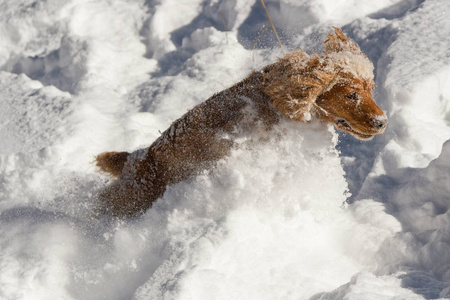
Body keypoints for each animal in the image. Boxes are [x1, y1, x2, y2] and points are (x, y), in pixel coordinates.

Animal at [94, 27, 386, 217]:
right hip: (134, 196)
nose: (383, 122)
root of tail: (136, 157)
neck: (276, 101)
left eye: (371, 89)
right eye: (351, 95)